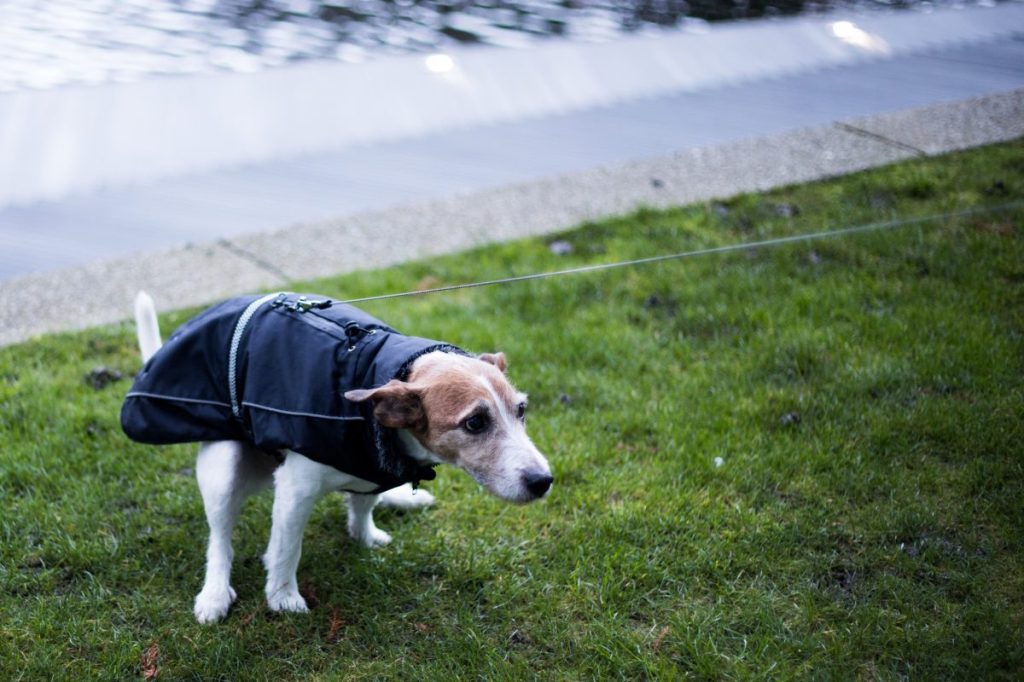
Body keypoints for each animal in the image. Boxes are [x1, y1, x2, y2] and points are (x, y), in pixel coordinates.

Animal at [121, 288, 552, 618]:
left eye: (521, 410)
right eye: (475, 423)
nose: (543, 481)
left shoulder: (371, 466)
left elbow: (362, 508)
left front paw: (365, 534)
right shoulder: (295, 491)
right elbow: (286, 549)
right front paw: (282, 597)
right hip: (224, 469)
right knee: (220, 539)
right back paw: (214, 592)